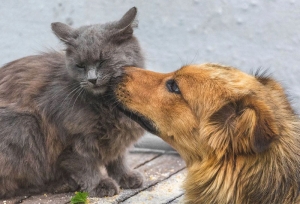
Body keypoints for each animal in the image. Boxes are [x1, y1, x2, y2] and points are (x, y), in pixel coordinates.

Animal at [0, 7, 145, 198]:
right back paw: (61, 184)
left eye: (102, 61)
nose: (92, 79)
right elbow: (85, 166)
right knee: (14, 185)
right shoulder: (74, 140)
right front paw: (100, 185)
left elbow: (118, 159)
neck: (106, 103)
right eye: (80, 65)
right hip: (24, 125)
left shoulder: (117, 137)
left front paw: (126, 177)